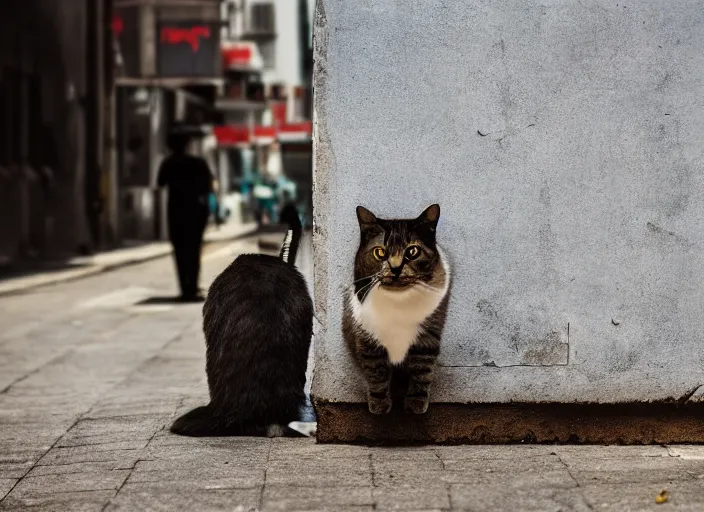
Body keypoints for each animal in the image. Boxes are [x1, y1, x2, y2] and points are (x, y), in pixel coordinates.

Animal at [342, 202, 452, 414]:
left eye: (412, 252)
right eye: (380, 252)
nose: (395, 268)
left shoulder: (428, 337)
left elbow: (422, 370)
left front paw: (416, 404)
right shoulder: (368, 336)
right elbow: (377, 373)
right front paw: (379, 405)